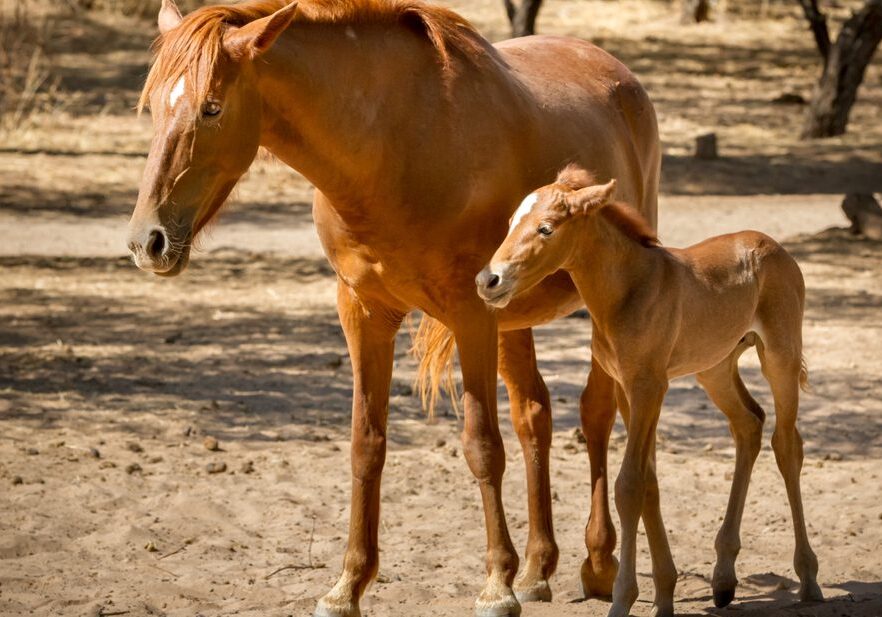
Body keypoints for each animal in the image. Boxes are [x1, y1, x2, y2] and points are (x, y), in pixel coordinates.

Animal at [125, 1, 661, 615]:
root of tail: (617, 74)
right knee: (535, 417)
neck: (393, 145)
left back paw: (596, 561)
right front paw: (348, 584)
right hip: (512, 318)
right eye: (152, 107)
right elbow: (367, 445)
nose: (147, 241)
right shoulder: (364, 313)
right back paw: (537, 567)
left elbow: (482, 446)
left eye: (211, 107)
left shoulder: (471, 315)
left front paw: (496, 584)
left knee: (596, 415)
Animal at [476, 165, 823, 617]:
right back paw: (723, 577)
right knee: (749, 424)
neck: (628, 290)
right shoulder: (628, 389)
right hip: (714, 368)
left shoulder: (648, 387)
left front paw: (623, 598)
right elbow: (649, 483)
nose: (488, 280)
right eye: (510, 223)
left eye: (546, 228)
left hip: (780, 356)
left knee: (787, 445)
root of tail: (774, 246)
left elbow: (629, 485)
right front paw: (664, 594)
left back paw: (808, 577)